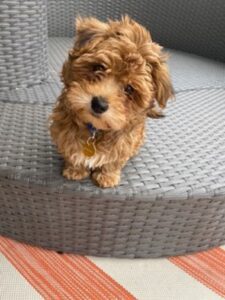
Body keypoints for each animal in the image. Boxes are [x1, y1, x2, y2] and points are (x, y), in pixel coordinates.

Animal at [50, 16, 173, 188]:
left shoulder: (124, 144)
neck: (95, 129)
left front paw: (107, 176)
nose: (99, 104)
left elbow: (113, 162)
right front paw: (75, 170)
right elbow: (72, 151)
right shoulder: (64, 132)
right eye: (98, 67)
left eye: (129, 89)